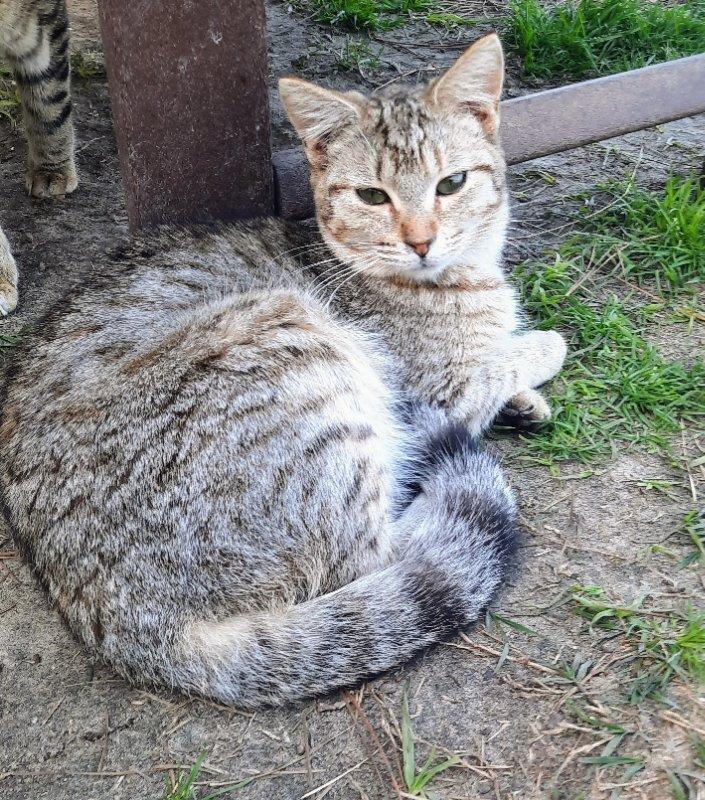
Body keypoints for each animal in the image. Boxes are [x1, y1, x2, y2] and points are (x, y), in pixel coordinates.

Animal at [0, 34, 560, 708]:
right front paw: (537, 351)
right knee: (375, 554)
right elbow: (509, 354)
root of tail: (131, 625)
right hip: (297, 346)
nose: (422, 241)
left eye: (451, 183)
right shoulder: (441, 384)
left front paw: (525, 398)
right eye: (373, 196)